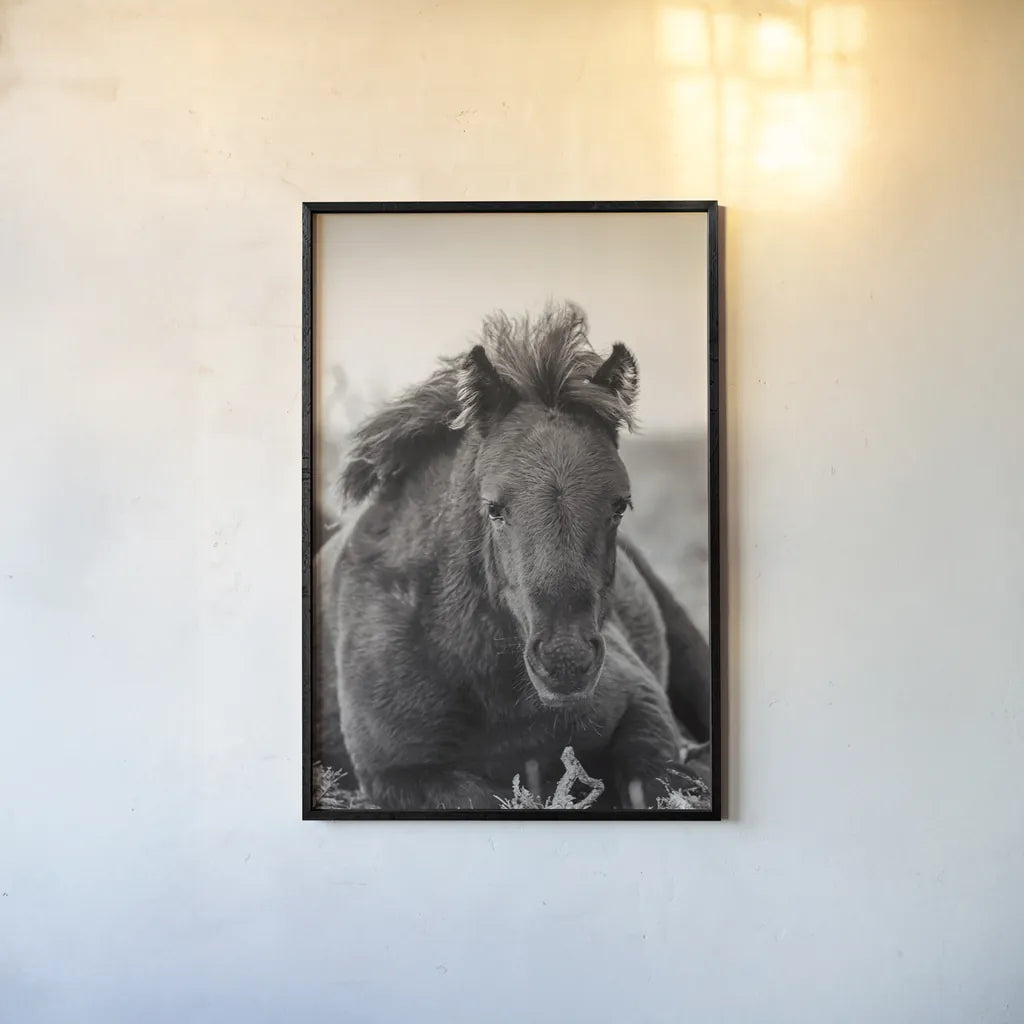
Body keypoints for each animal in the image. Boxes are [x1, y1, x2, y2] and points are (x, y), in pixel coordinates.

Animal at [313, 303, 712, 810]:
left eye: (619, 505)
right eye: (494, 508)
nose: (566, 661)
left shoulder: (642, 705)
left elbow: (661, 782)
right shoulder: (399, 774)